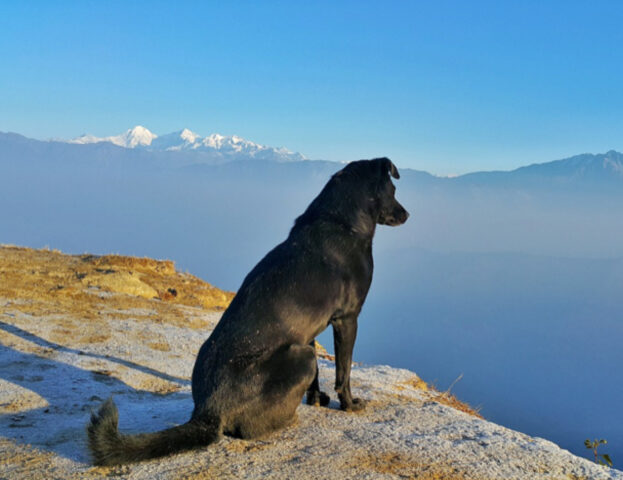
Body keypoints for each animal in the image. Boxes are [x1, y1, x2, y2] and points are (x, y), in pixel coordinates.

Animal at [88, 158, 410, 464]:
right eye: (394, 189)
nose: (407, 215)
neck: (341, 220)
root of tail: (207, 411)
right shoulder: (347, 319)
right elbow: (344, 372)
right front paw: (349, 404)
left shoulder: (308, 330)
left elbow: (321, 374)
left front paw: (317, 398)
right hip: (301, 358)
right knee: (249, 429)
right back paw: (288, 420)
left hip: (301, 349)